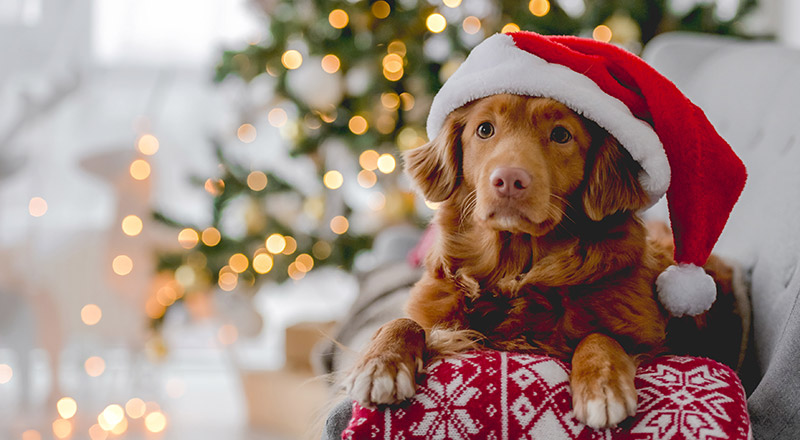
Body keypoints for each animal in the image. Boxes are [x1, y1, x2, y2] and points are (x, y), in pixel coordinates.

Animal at [340, 94, 736, 428]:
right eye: (485, 129)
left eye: (561, 134)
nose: (509, 180)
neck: (516, 268)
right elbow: (402, 322)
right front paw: (380, 364)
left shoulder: (650, 341)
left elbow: (599, 336)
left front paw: (603, 386)